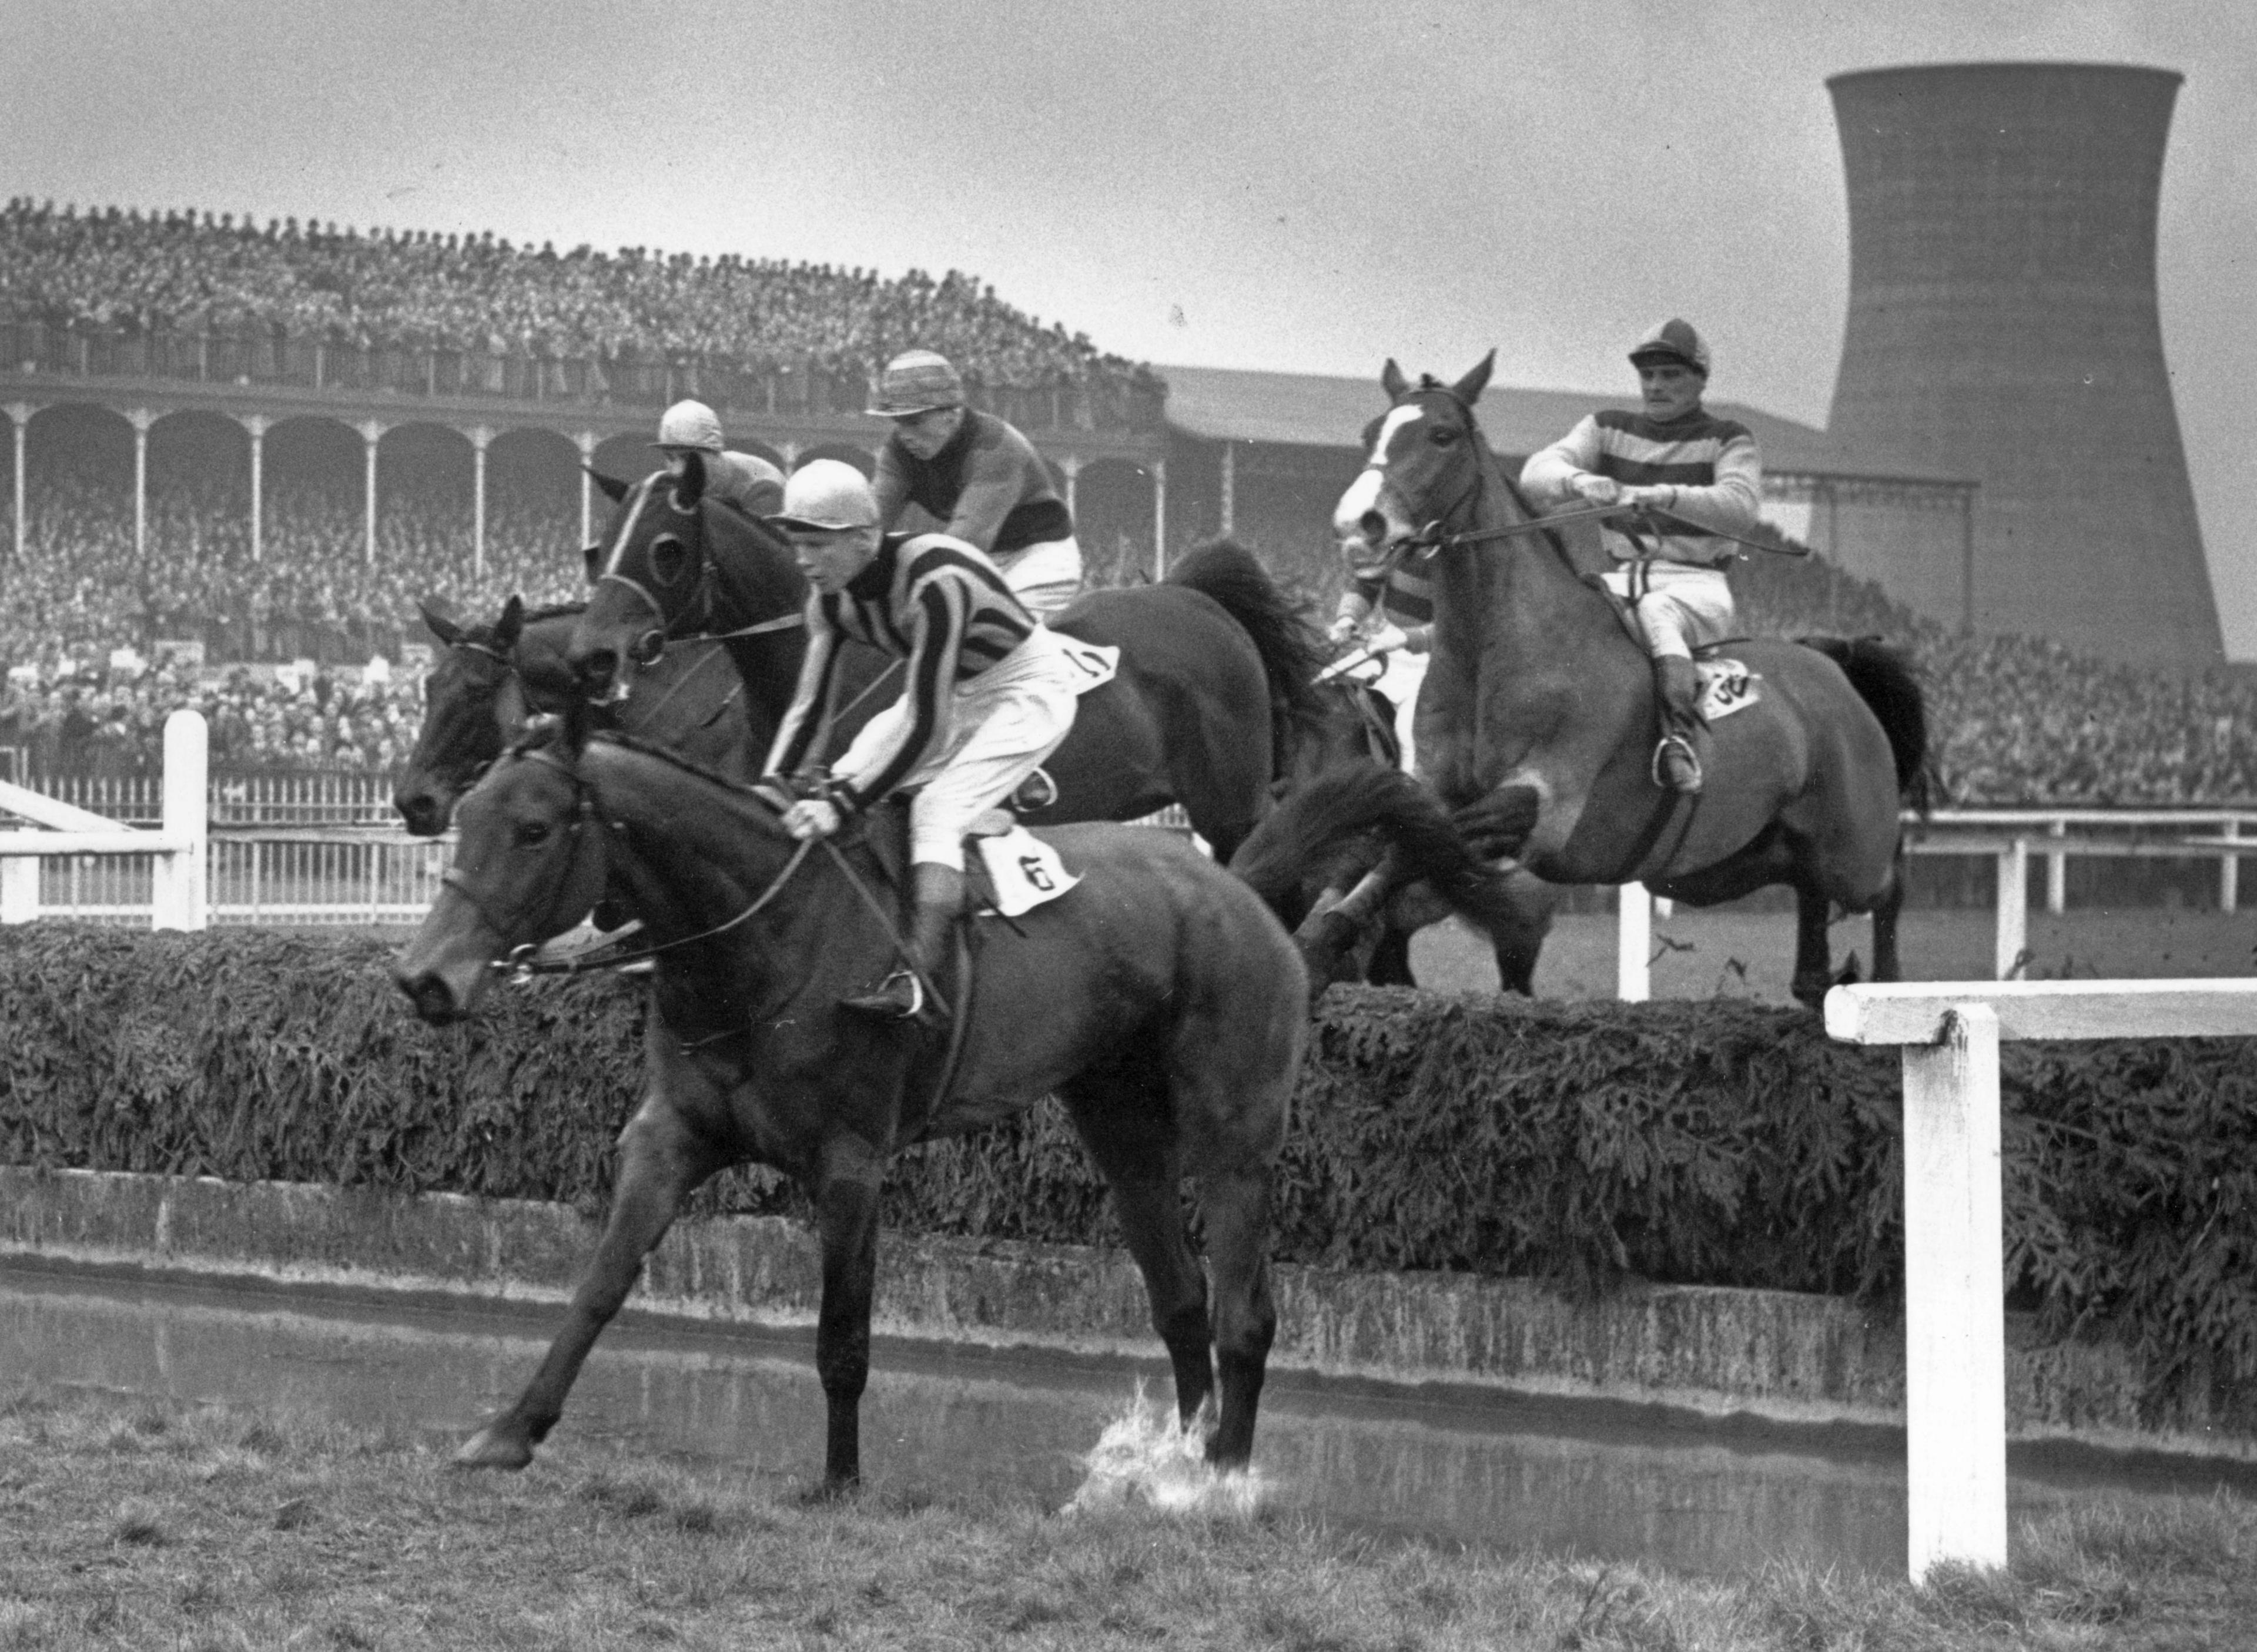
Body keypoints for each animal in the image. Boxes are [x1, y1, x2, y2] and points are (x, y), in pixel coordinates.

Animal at [397, 726, 1300, 1480]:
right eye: (466, 814)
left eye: (535, 829)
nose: (424, 978)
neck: (762, 940)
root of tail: (1237, 887)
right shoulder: (671, 1134)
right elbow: (600, 1283)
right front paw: (510, 1431)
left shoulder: (849, 1163)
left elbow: (843, 1338)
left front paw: (840, 1481)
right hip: (1120, 1122)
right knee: (1180, 1300)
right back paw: (1178, 1462)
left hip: (1234, 1133)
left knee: (1244, 1313)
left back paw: (1220, 1479)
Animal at [1318, 356, 1932, 1006]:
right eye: (1371, 432)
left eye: (1442, 435)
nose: (1359, 524)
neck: (1495, 654)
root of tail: (1833, 664)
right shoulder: (1435, 790)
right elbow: (1389, 854)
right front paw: (1326, 933)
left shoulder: (1546, 804)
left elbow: (1418, 849)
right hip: (1753, 857)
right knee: (1811, 920)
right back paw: (1825, 980)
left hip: (1852, 847)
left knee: (1890, 883)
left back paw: (1891, 982)